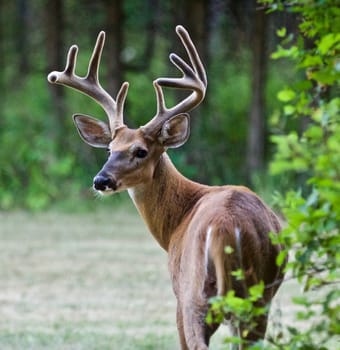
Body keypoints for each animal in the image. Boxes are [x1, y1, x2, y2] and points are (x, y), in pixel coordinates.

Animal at [47, 25, 286, 350]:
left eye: (140, 151)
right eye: (109, 149)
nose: (101, 180)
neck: (177, 220)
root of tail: (226, 229)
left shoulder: (177, 295)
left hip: (194, 294)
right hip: (257, 298)